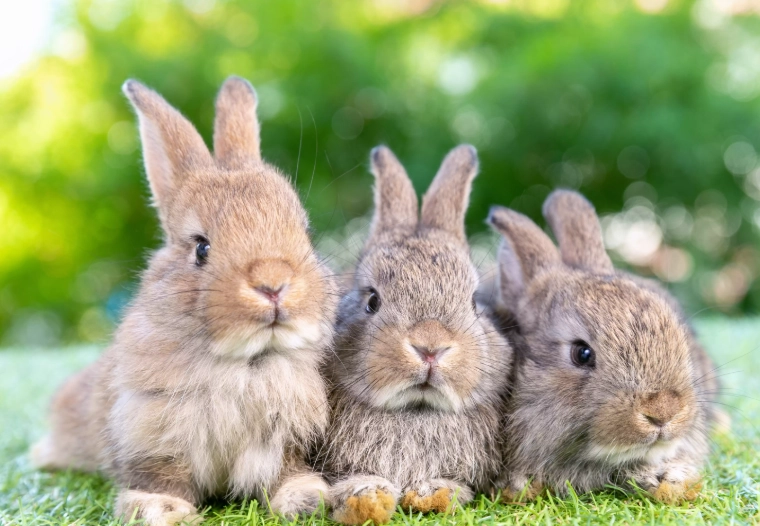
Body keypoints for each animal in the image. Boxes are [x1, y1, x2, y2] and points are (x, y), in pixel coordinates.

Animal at [29, 76, 339, 525]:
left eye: (306, 234)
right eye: (201, 248)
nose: (273, 284)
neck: (244, 362)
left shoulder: (283, 440)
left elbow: (284, 473)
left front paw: (306, 498)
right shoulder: (151, 431)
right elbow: (162, 476)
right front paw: (161, 508)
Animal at [312, 145, 513, 525]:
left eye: (473, 302)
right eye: (372, 300)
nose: (430, 347)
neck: (416, 412)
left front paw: (432, 494)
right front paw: (367, 498)